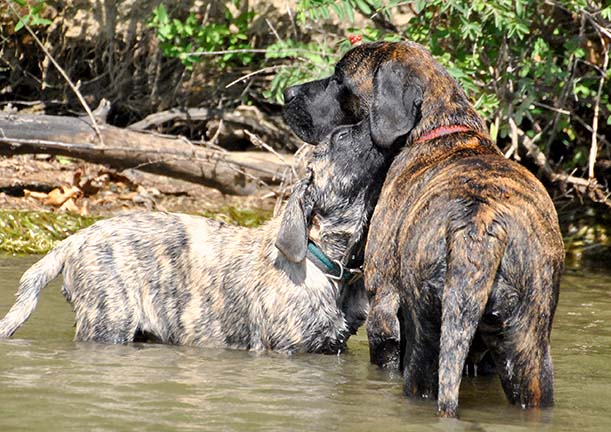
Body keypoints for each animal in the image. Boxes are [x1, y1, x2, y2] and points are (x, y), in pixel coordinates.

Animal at [286, 42, 564, 416]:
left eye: (339, 79)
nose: (288, 93)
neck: (444, 129)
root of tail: (478, 224)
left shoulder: (384, 312)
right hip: (528, 351)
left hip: (425, 339)